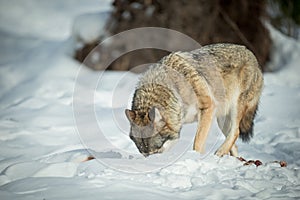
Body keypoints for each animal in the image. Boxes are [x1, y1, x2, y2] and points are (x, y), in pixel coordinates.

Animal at [124, 43, 262, 157]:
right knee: (234, 143)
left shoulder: (208, 107)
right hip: (221, 119)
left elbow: (197, 142)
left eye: (157, 151)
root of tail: (250, 53)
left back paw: (220, 152)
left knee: (236, 131)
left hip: (234, 108)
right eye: (144, 154)